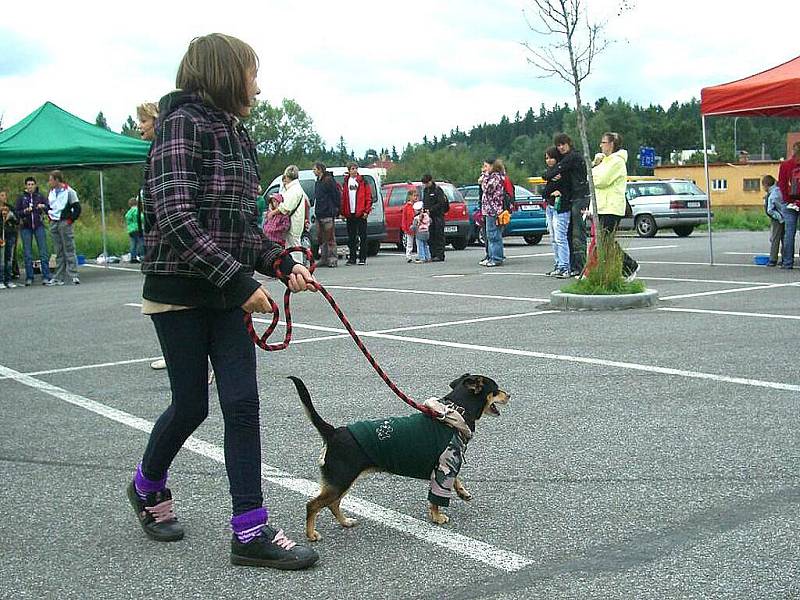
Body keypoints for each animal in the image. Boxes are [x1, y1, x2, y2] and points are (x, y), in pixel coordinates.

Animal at [290, 372, 510, 540]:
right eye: (496, 390)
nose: (509, 394)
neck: (454, 412)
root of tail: (333, 432)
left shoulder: (447, 465)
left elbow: (456, 480)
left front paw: (463, 492)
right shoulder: (443, 468)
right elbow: (436, 498)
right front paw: (437, 518)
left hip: (341, 482)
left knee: (333, 504)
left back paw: (345, 522)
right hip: (340, 480)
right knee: (312, 505)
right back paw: (311, 535)